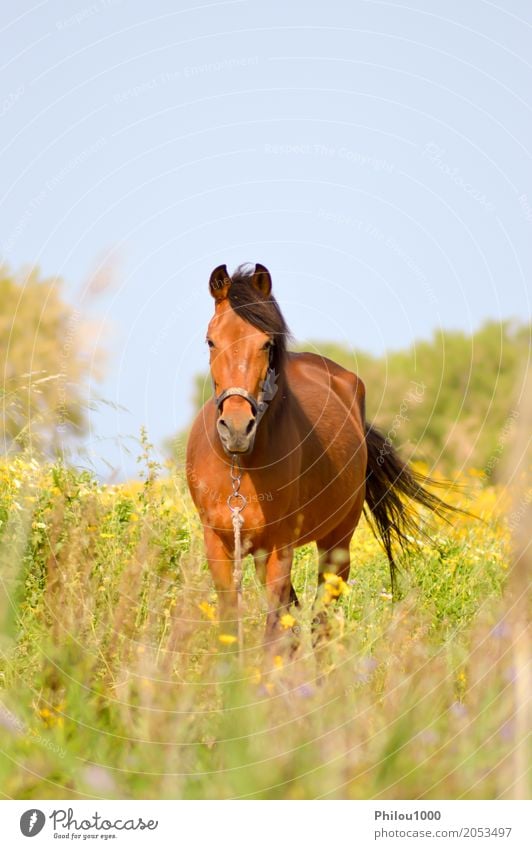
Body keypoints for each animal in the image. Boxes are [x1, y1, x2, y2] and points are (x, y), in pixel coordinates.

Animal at [186, 264, 454, 648]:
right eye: (211, 341)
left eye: (266, 343)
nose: (237, 429)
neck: (240, 466)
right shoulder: (219, 544)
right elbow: (231, 626)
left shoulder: (280, 547)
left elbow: (276, 628)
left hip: (336, 542)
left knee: (321, 620)